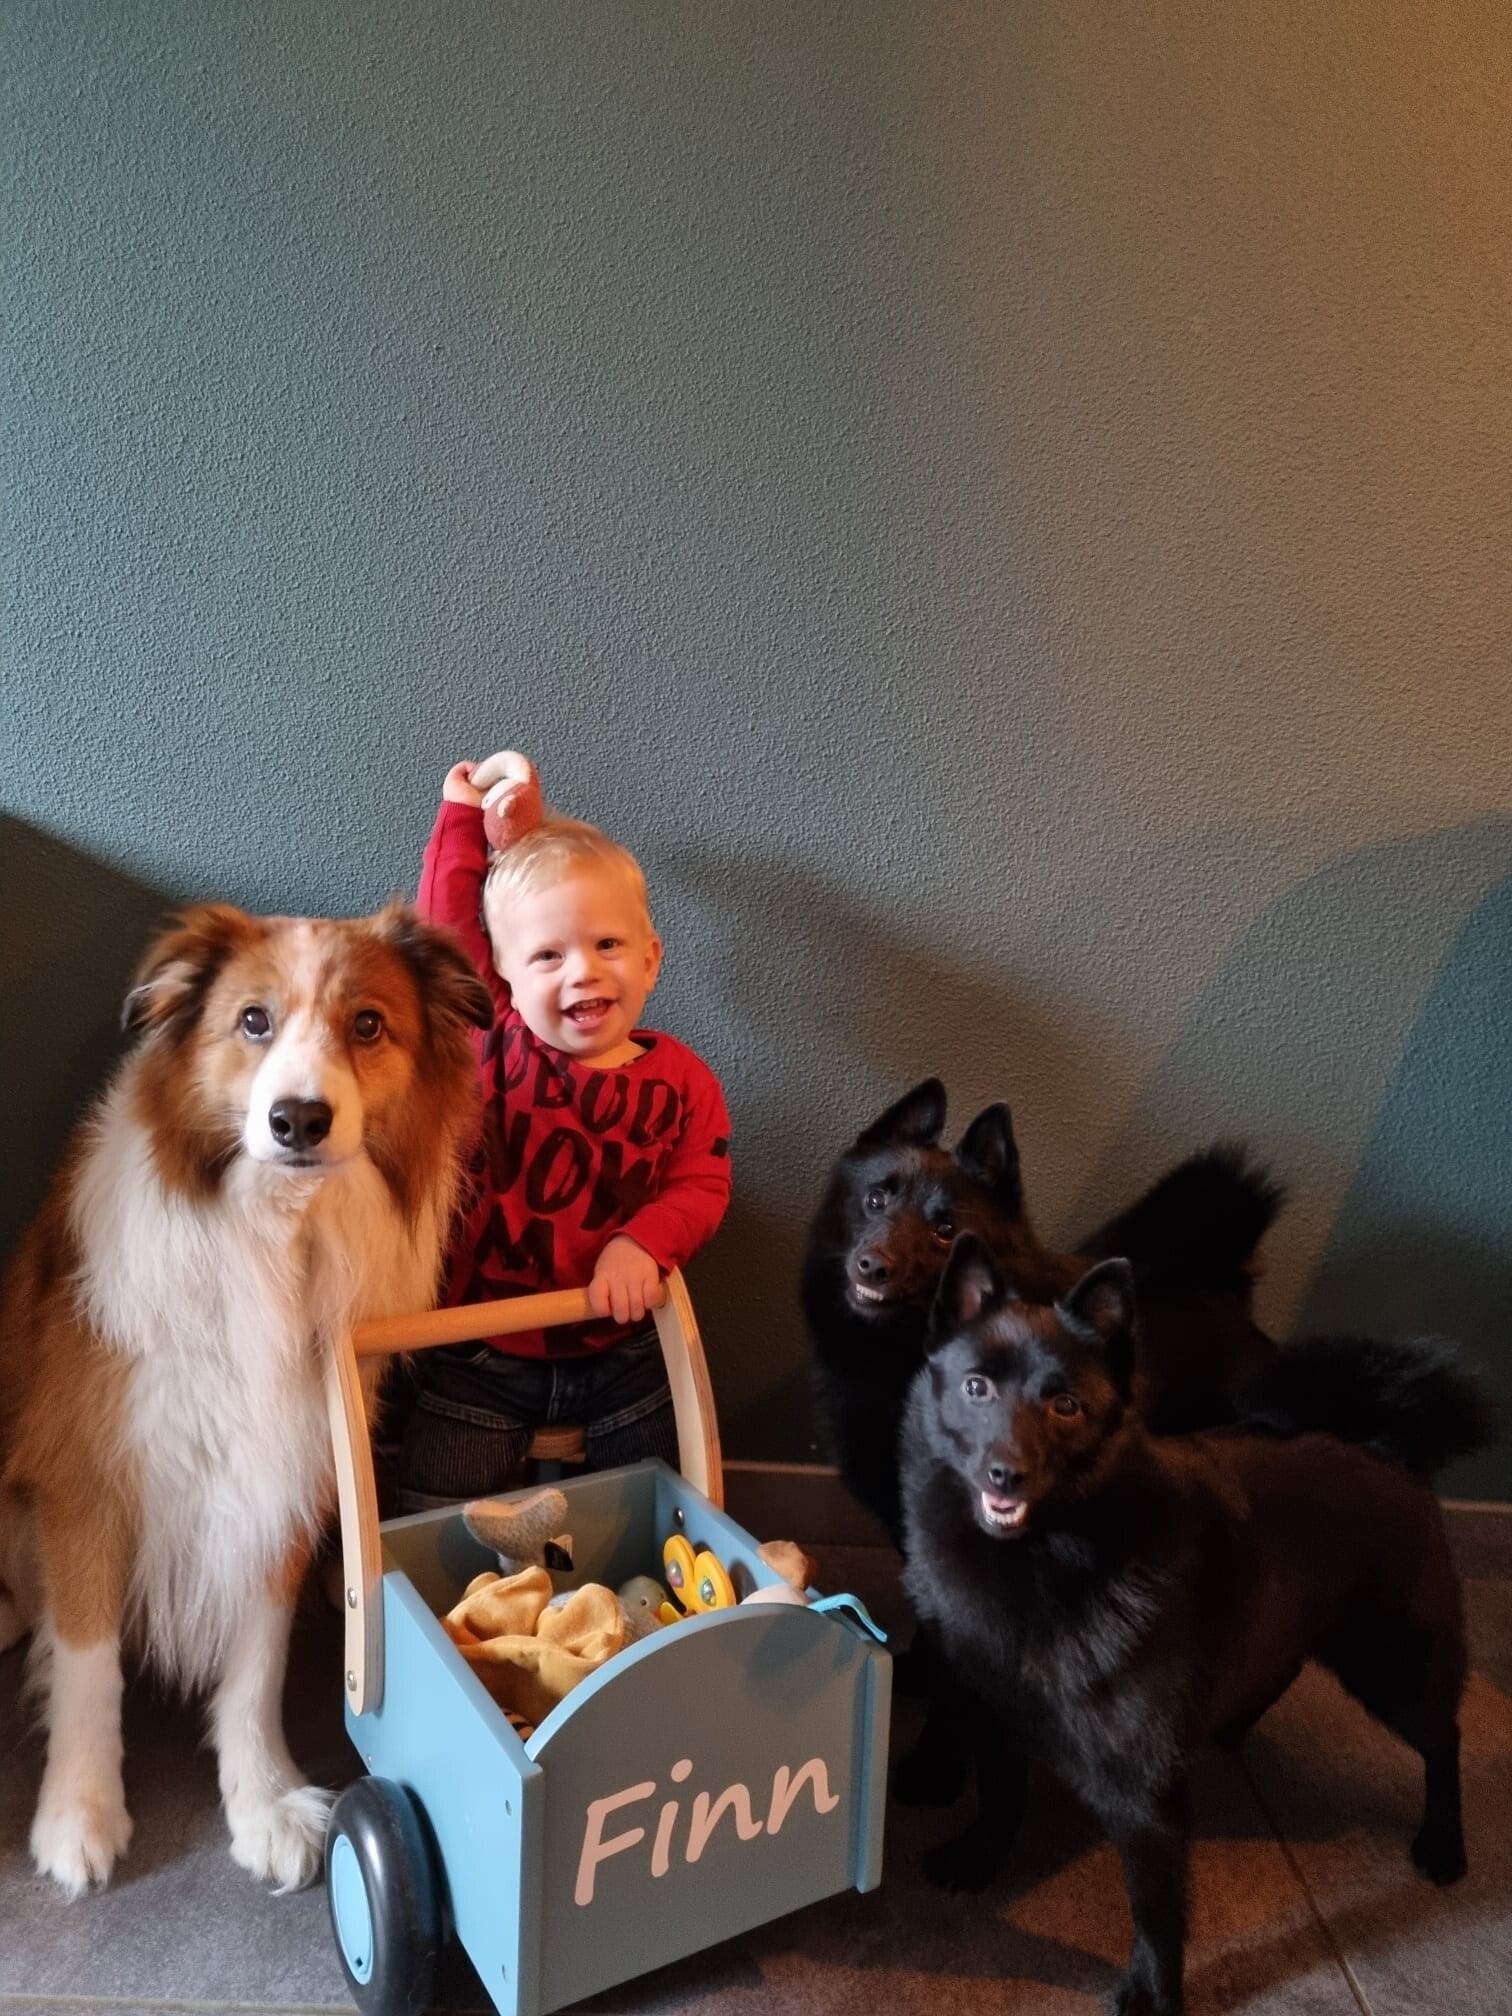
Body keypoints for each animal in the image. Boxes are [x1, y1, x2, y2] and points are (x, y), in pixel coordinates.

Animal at [0, 901, 491, 1896]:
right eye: (253, 1021)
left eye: (368, 1025)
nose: (297, 1118)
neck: (273, 1239)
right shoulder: (85, 1484)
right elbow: (87, 1662)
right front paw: (79, 1815)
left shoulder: (286, 1480)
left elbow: (258, 1664)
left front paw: (262, 1802)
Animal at [899, 1235, 1496, 2016]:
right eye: (976, 1388)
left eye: (1065, 1405)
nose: (1007, 1473)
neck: (1049, 1562)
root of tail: (1380, 1442)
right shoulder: (995, 1710)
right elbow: (999, 1798)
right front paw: (978, 1858)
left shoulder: (1144, 1788)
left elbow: (1156, 1907)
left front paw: (1154, 1990)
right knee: (1279, 1665)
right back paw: (1233, 1726)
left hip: (1393, 1665)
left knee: (1444, 1740)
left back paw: (1445, 1842)